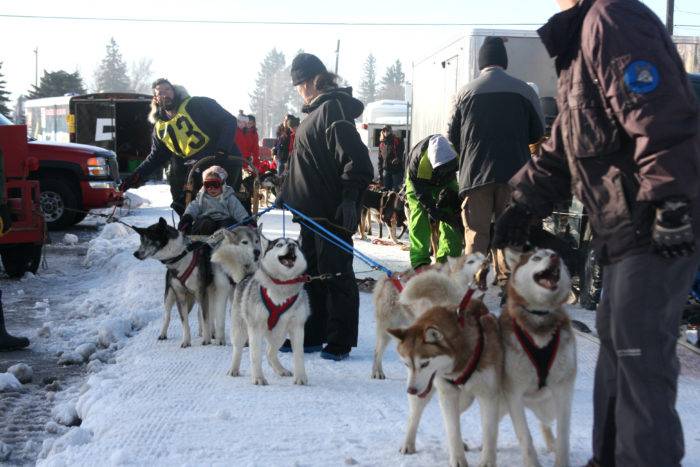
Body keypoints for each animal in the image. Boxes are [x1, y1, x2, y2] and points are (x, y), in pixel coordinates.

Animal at [135, 218, 231, 348]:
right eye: (141, 241)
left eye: (149, 240)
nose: (135, 253)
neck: (181, 255)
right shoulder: (180, 296)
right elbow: (184, 321)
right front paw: (186, 341)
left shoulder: (201, 292)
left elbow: (206, 317)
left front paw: (206, 340)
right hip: (170, 296)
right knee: (167, 315)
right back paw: (163, 334)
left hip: (205, 294)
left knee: (207, 314)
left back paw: (210, 333)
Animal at [230, 236, 308, 386]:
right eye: (279, 244)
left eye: (295, 244)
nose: (291, 246)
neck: (282, 287)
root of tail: (246, 276)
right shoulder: (255, 328)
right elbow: (255, 356)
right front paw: (258, 377)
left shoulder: (297, 328)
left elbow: (299, 355)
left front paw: (300, 377)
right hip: (240, 329)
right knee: (237, 349)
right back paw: (233, 369)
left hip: (280, 334)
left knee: (270, 352)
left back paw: (281, 370)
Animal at [370, 252, 490, 380]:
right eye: (470, 261)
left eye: (483, 258)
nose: (486, 262)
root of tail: (389, 277)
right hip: (386, 330)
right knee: (377, 351)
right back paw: (377, 372)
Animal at [388, 274, 504, 467]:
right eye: (407, 364)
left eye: (425, 364)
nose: (410, 390)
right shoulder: (447, 394)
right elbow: (452, 429)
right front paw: (457, 459)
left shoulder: (489, 395)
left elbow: (489, 432)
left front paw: (487, 461)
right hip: (427, 394)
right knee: (415, 416)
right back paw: (408, 444)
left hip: (465, 398)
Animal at [500, 247, 576, 466]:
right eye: (536, 258)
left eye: (556, 254)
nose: (555, 257)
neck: (540, 316)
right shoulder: (514, 394)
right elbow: (525, 437)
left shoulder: (564, 390)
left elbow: (564, 435)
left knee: (546, 423)